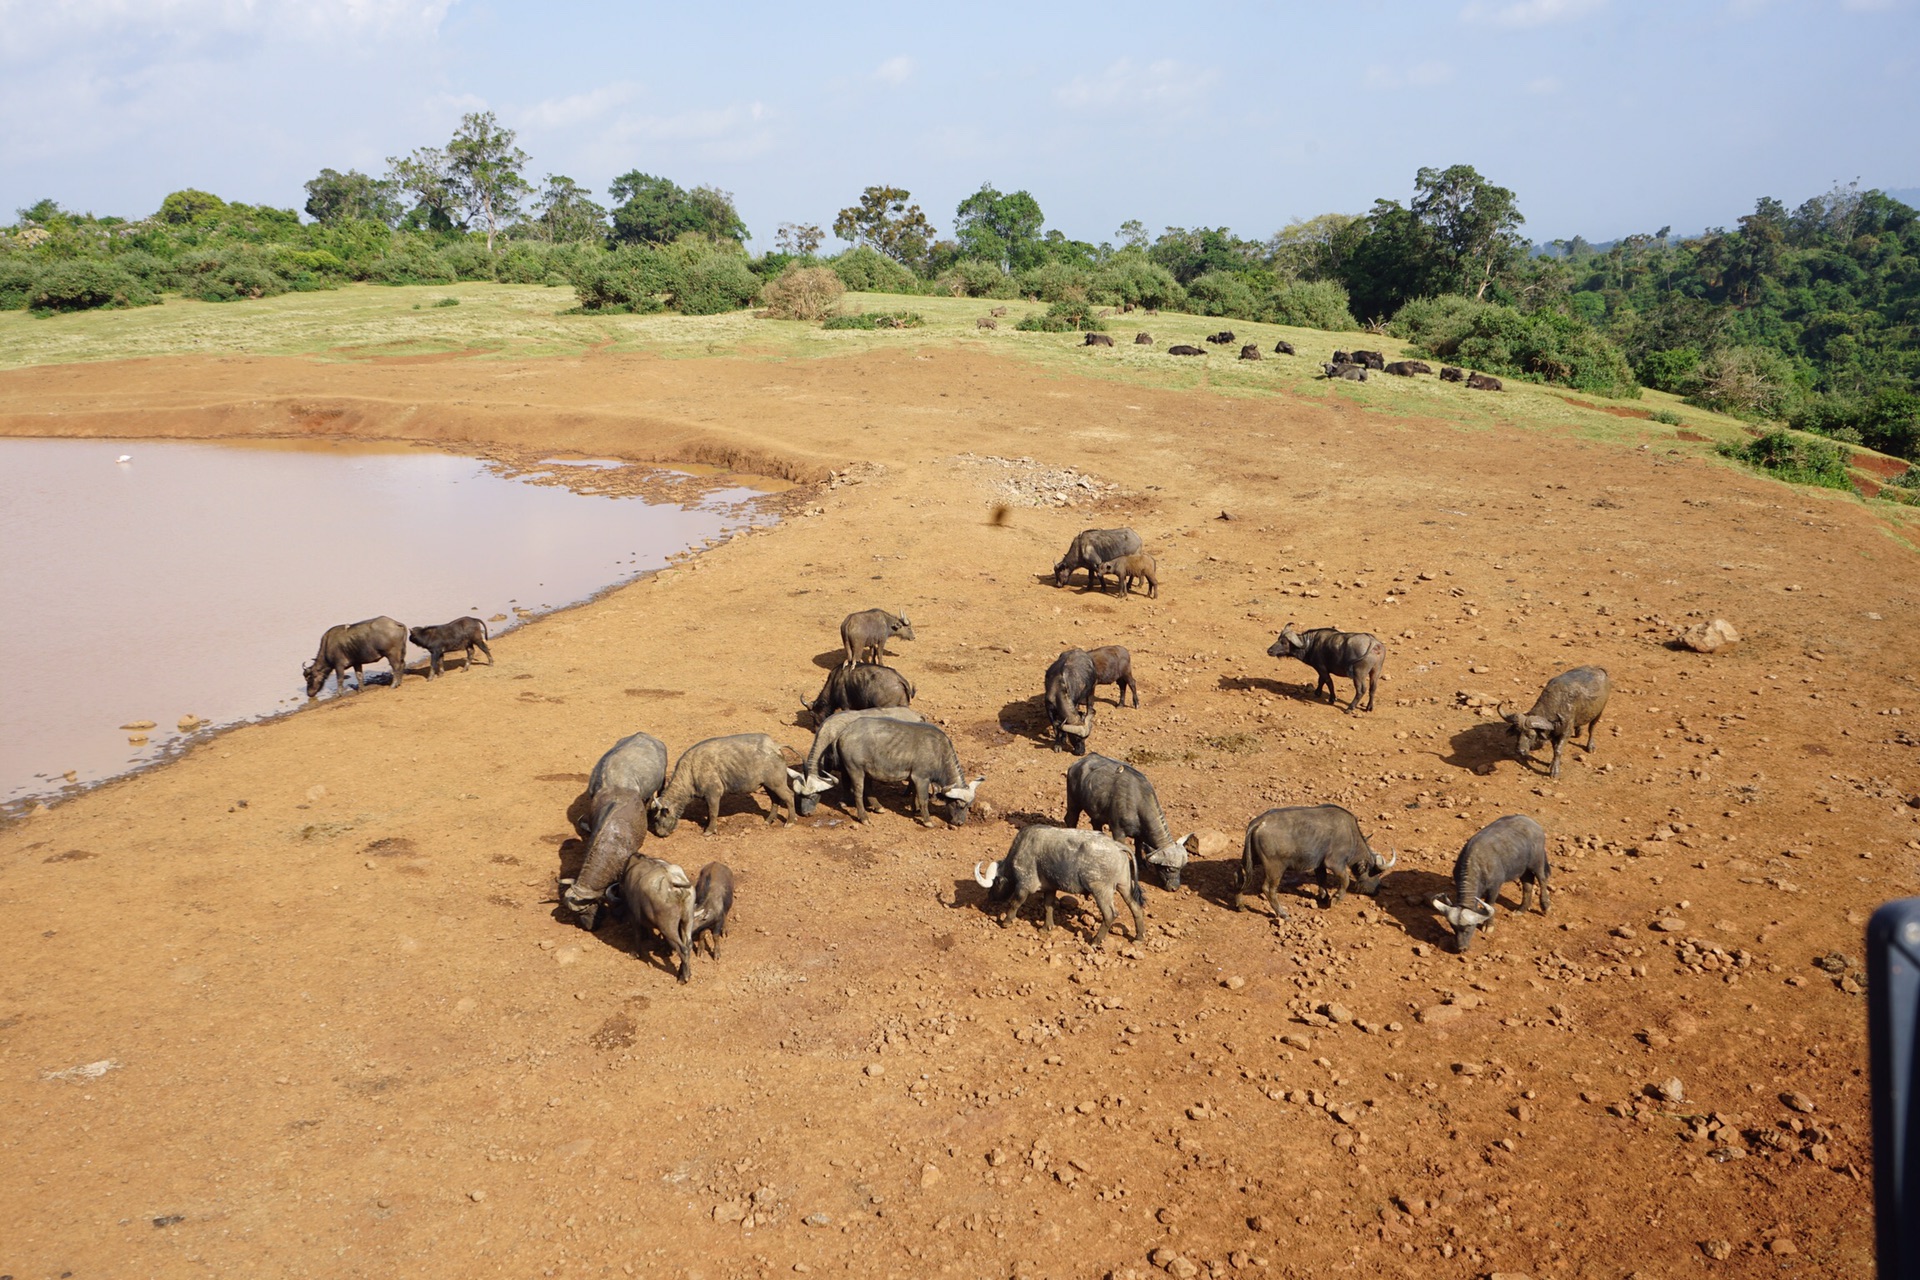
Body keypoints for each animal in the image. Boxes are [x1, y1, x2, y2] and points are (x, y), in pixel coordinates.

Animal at [1067, 756, 1182, 886]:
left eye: (1180, 869)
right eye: (1169, 869)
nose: (1174, 887)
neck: (1137, 802)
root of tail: (1077, 763)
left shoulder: (1140, 833)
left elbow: (1138, 845)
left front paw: (1141, 863)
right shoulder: (1118, 831)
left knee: (1096, 823)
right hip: (1073, 801)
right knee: (1071, 818)